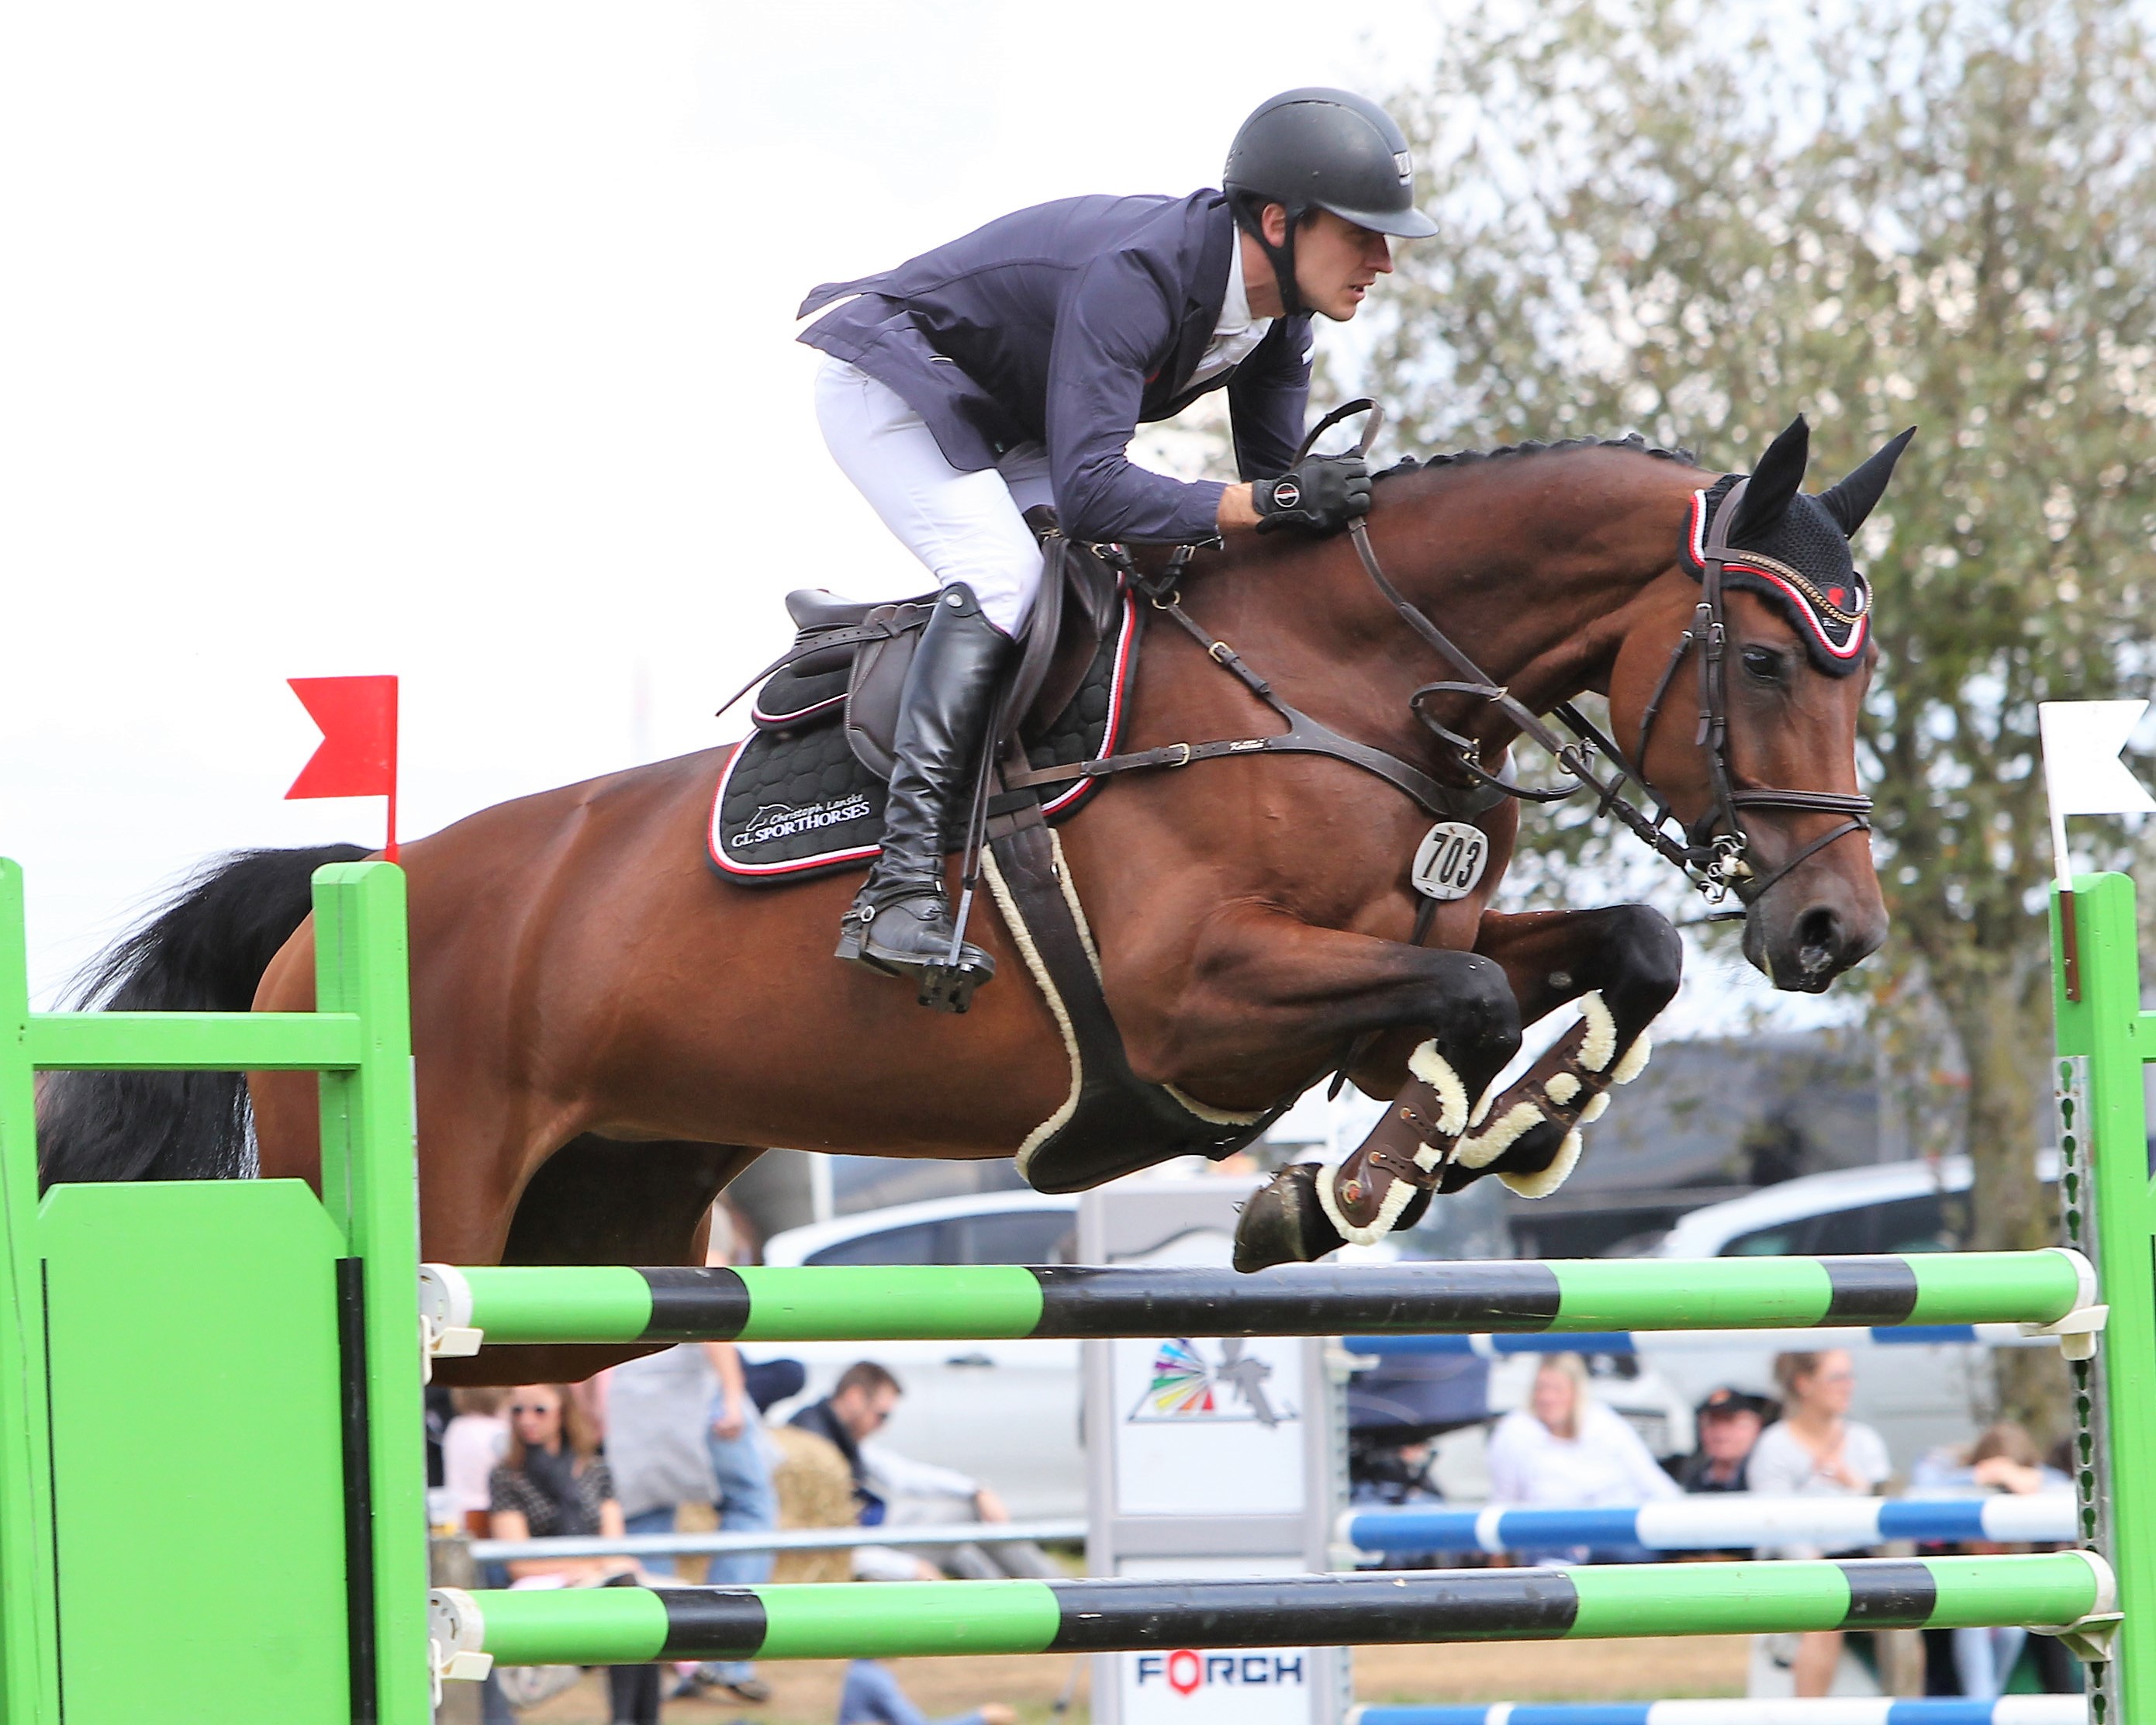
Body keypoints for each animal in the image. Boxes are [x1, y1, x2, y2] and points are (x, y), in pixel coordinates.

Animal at [42, 411, 1906, 1380]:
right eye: (1759, 658)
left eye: (1862, 671)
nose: (1835, 932)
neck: (1344, 677)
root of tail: (332, 904)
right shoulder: (1196, 1001)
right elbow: (1461, 1005)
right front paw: (1331, 1196)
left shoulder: (1397, 953)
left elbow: (1610, 953)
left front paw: (1507, 1135)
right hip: (438, 1214)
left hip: (581, 1267)